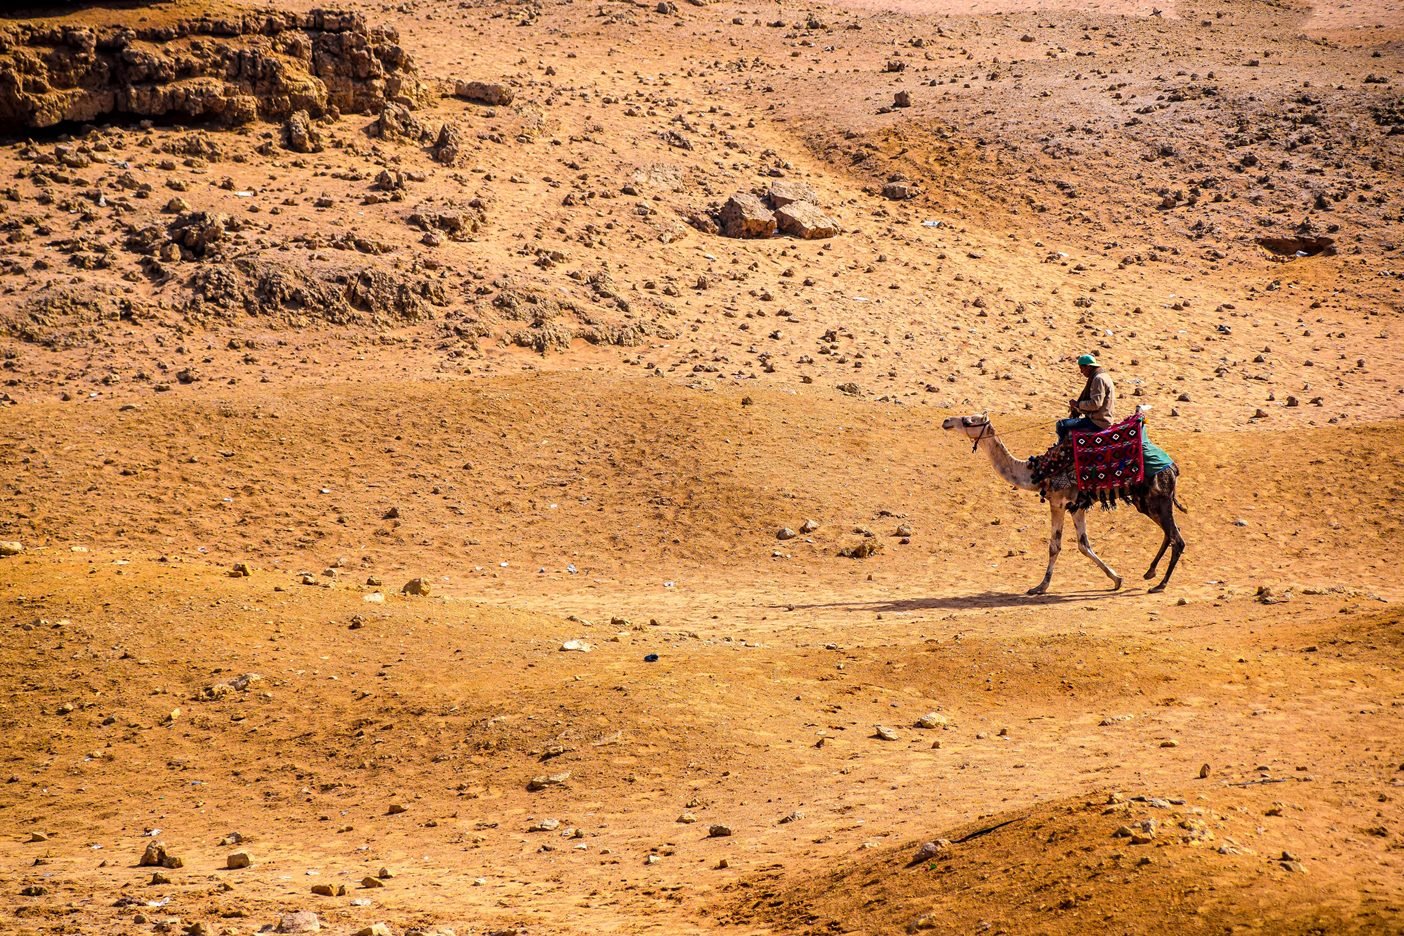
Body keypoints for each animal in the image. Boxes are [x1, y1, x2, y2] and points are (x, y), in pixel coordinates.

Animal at [943, 415, 1184, 592]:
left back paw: (1160, 585)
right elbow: (1083, 544)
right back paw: (1150, 572)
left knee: (1177, 538)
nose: (946, 421)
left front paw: (1040, 587)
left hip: (1158, 498)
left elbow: (1054, 546)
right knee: (1170, 534)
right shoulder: (1076, 506)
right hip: (1145, 502)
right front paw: (1116, 579)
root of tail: (1173, 467)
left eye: (968, 420)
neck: (1038, 472)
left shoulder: (1057, 502)